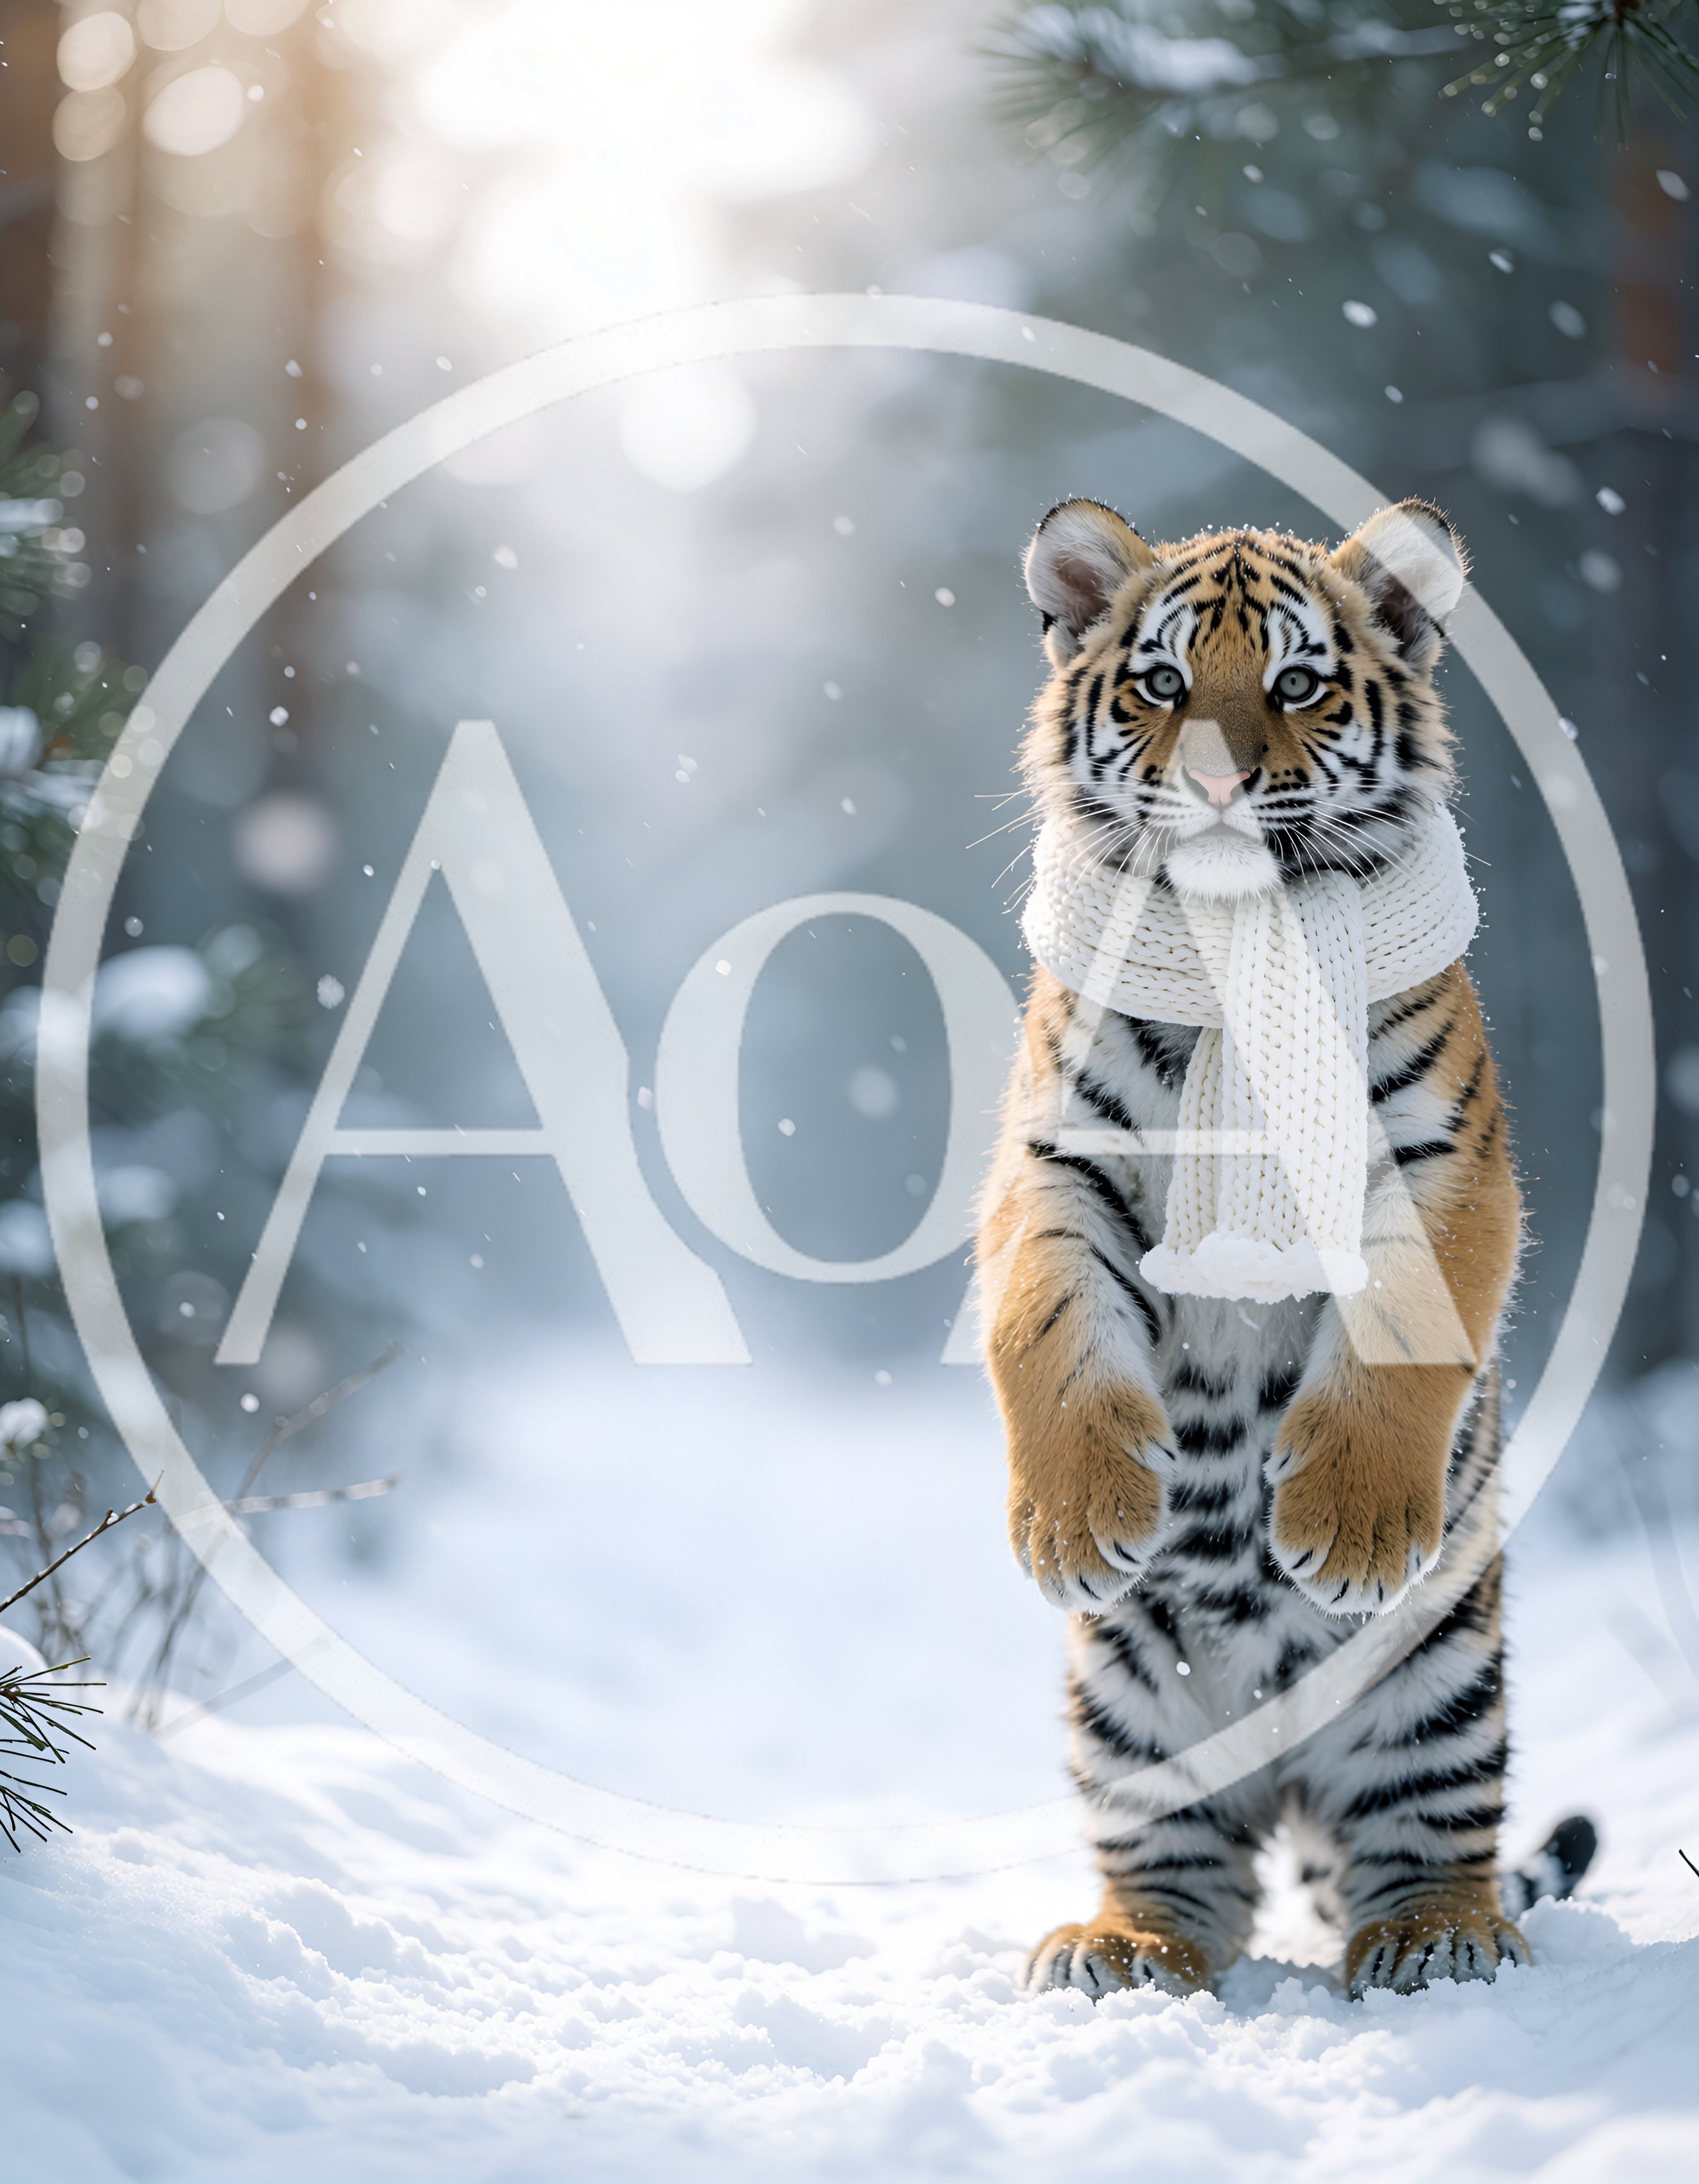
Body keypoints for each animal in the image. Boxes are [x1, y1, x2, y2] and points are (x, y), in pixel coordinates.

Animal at [977, 497, 1592, 2000]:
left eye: (1299, 683)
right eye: (1160, 682)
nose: (1214, 784)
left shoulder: (1440, 1164)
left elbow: (1404, 1339)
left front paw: (1349, 1530)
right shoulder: (1055, 1168)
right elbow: (1043, 1323)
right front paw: (1074, 1521)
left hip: (1438, 1691)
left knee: (1429, 1841)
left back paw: (1438, 1942)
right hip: (1126, 1719)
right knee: (1184, 1880)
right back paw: (1121, 1949)